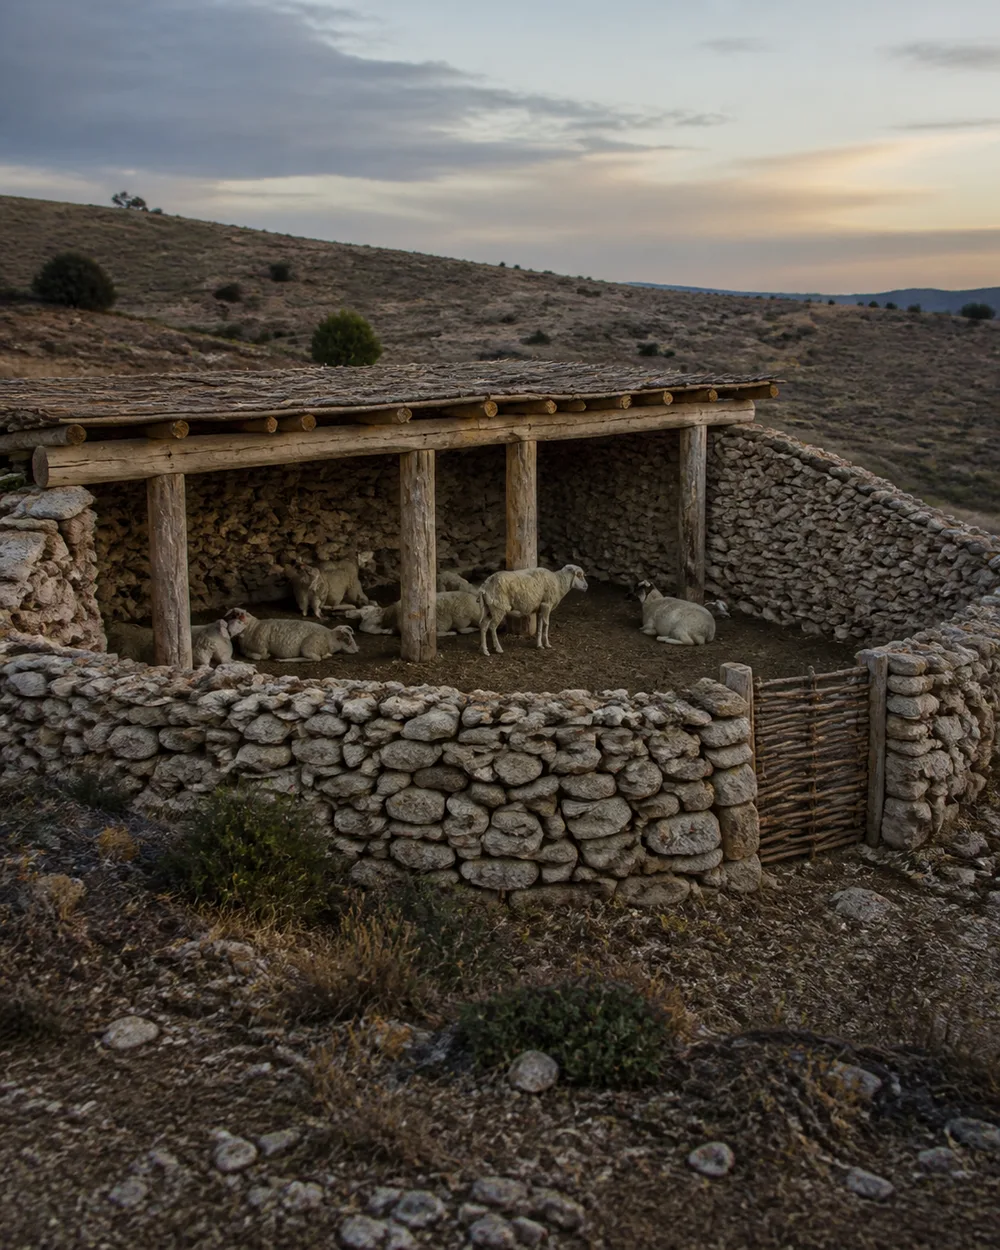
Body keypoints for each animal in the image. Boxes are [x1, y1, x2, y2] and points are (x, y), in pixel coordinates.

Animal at [225, 609, 359, 661]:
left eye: (237, 620)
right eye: (348, 639)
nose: (357, 650)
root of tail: (329, 633)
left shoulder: (261, 647)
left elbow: (258, 656)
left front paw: (267, 656)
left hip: (309, 646)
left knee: (315, 658)